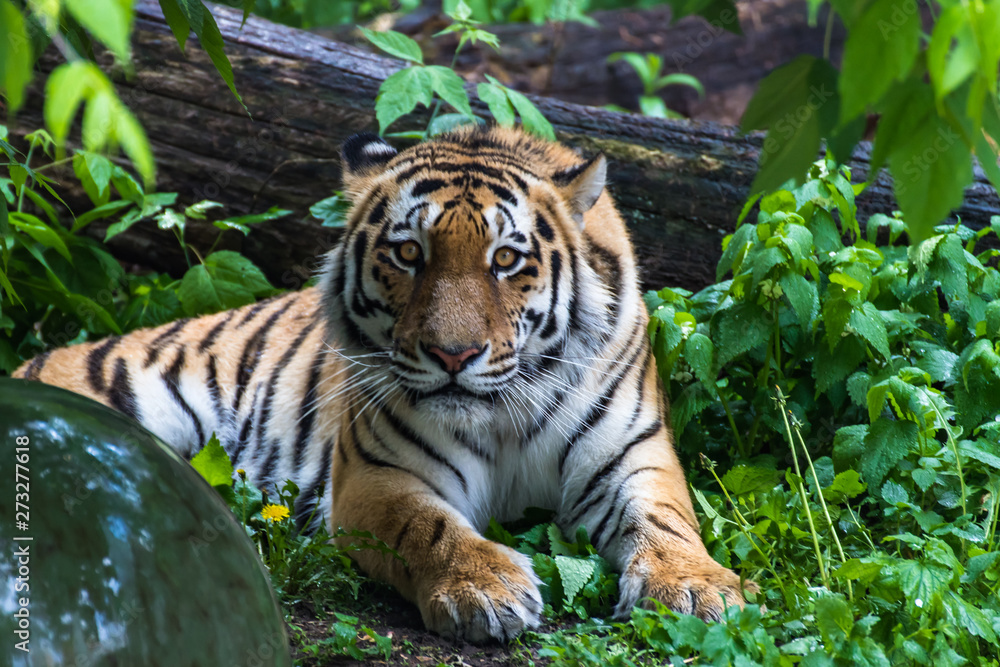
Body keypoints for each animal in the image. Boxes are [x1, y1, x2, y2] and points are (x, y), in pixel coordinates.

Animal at [15, 126, 751, 642]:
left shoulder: (633, 454)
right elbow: (429, 527)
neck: (503, 411)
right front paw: (486, 589)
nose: (454, 354)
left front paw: (697, 589)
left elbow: (666, 519)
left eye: (505, 259)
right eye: (408, 253)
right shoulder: (378, 474)